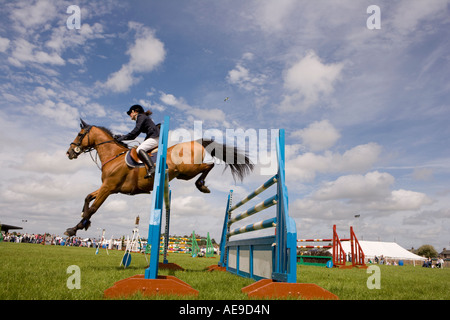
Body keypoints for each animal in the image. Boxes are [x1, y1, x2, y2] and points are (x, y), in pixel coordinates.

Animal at [64, 119, 253, 236]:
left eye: (80, 134)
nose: (69, 152)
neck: (114, 156)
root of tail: (196, 141)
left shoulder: (109, 188)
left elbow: (94, 208)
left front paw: (74, 229)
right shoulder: (108, 188)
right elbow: (87, 197)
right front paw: (83, 221)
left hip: (189, 169)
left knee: (210, 165)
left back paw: (202, 185)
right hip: (185, 174)